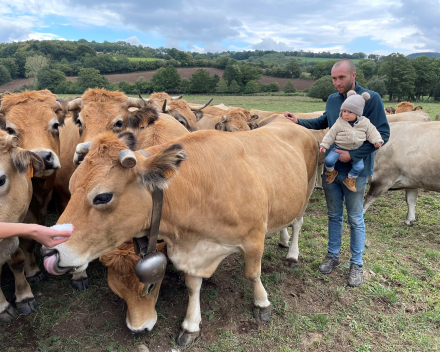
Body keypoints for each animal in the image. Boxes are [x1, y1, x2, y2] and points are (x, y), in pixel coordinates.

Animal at [40, 117, 316, 346]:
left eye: (102, 196)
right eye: (71, 186)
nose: (50, 251)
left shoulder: (254, 237)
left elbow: (252, 274)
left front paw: (262, 303)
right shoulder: (191, 250)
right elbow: (193, 286)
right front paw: (191, 325)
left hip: (308, 190)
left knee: (298, 222)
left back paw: (292, 254)